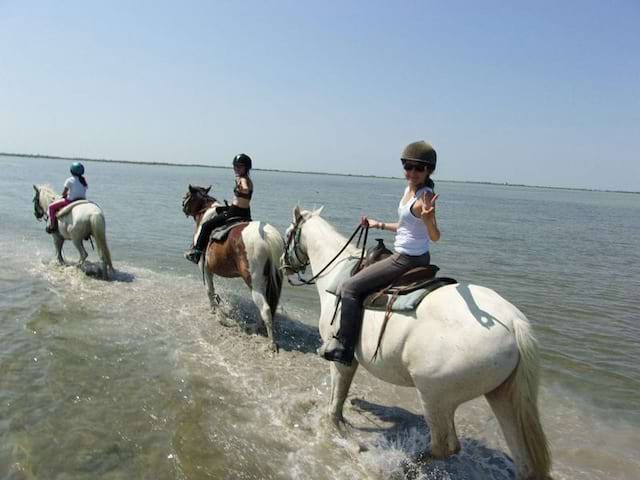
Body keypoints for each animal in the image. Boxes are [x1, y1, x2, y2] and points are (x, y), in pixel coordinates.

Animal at [181, 184, 284, 352]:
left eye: (187, 196)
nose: (183, 207)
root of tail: (267, 237)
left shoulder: (205, 268)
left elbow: (210, 290)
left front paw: (215, 312)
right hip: (268, 281)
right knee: (267, 307)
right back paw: (256, 328)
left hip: (255, 283)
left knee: (265, 309)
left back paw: (271, 343)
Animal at [282, 207, 552, 480]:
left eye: (288, 234)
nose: (284, 266)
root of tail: (515, 324)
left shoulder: (340, 359)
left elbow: (336, 403)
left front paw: (341, 434)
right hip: (502, 396)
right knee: (523, 461)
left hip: (435, 396)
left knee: (444, 446)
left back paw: (398, 466)